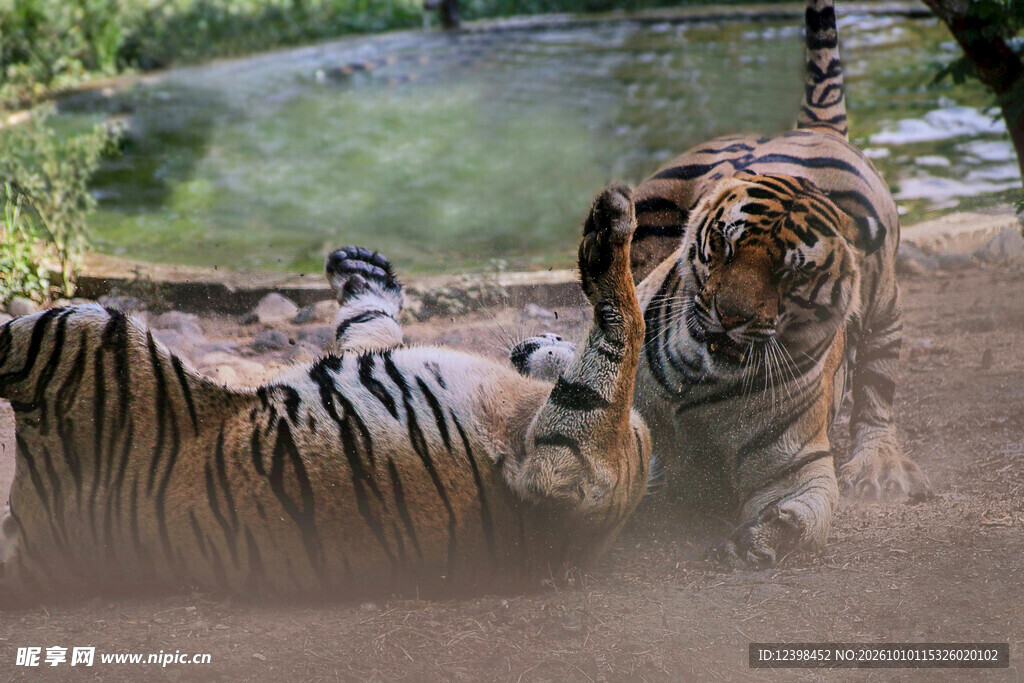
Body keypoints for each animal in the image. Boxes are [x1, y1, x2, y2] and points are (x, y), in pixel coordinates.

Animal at [0, 185, 651, 606]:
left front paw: (610, 234)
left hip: (82, 331)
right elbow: (370, 323)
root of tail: (39, 548)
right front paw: (363, 270)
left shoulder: (572, 470)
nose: (548, 336)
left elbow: (626, 332)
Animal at [519, 0, 927, 566]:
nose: (731, 316)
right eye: (725, 246)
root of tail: (815, 129)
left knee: (878, 387)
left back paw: (878, 468)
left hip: (885, 305)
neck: (700, 381)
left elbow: (807, 517)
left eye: (791, 271)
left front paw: (764, 537)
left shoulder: (799, 464)